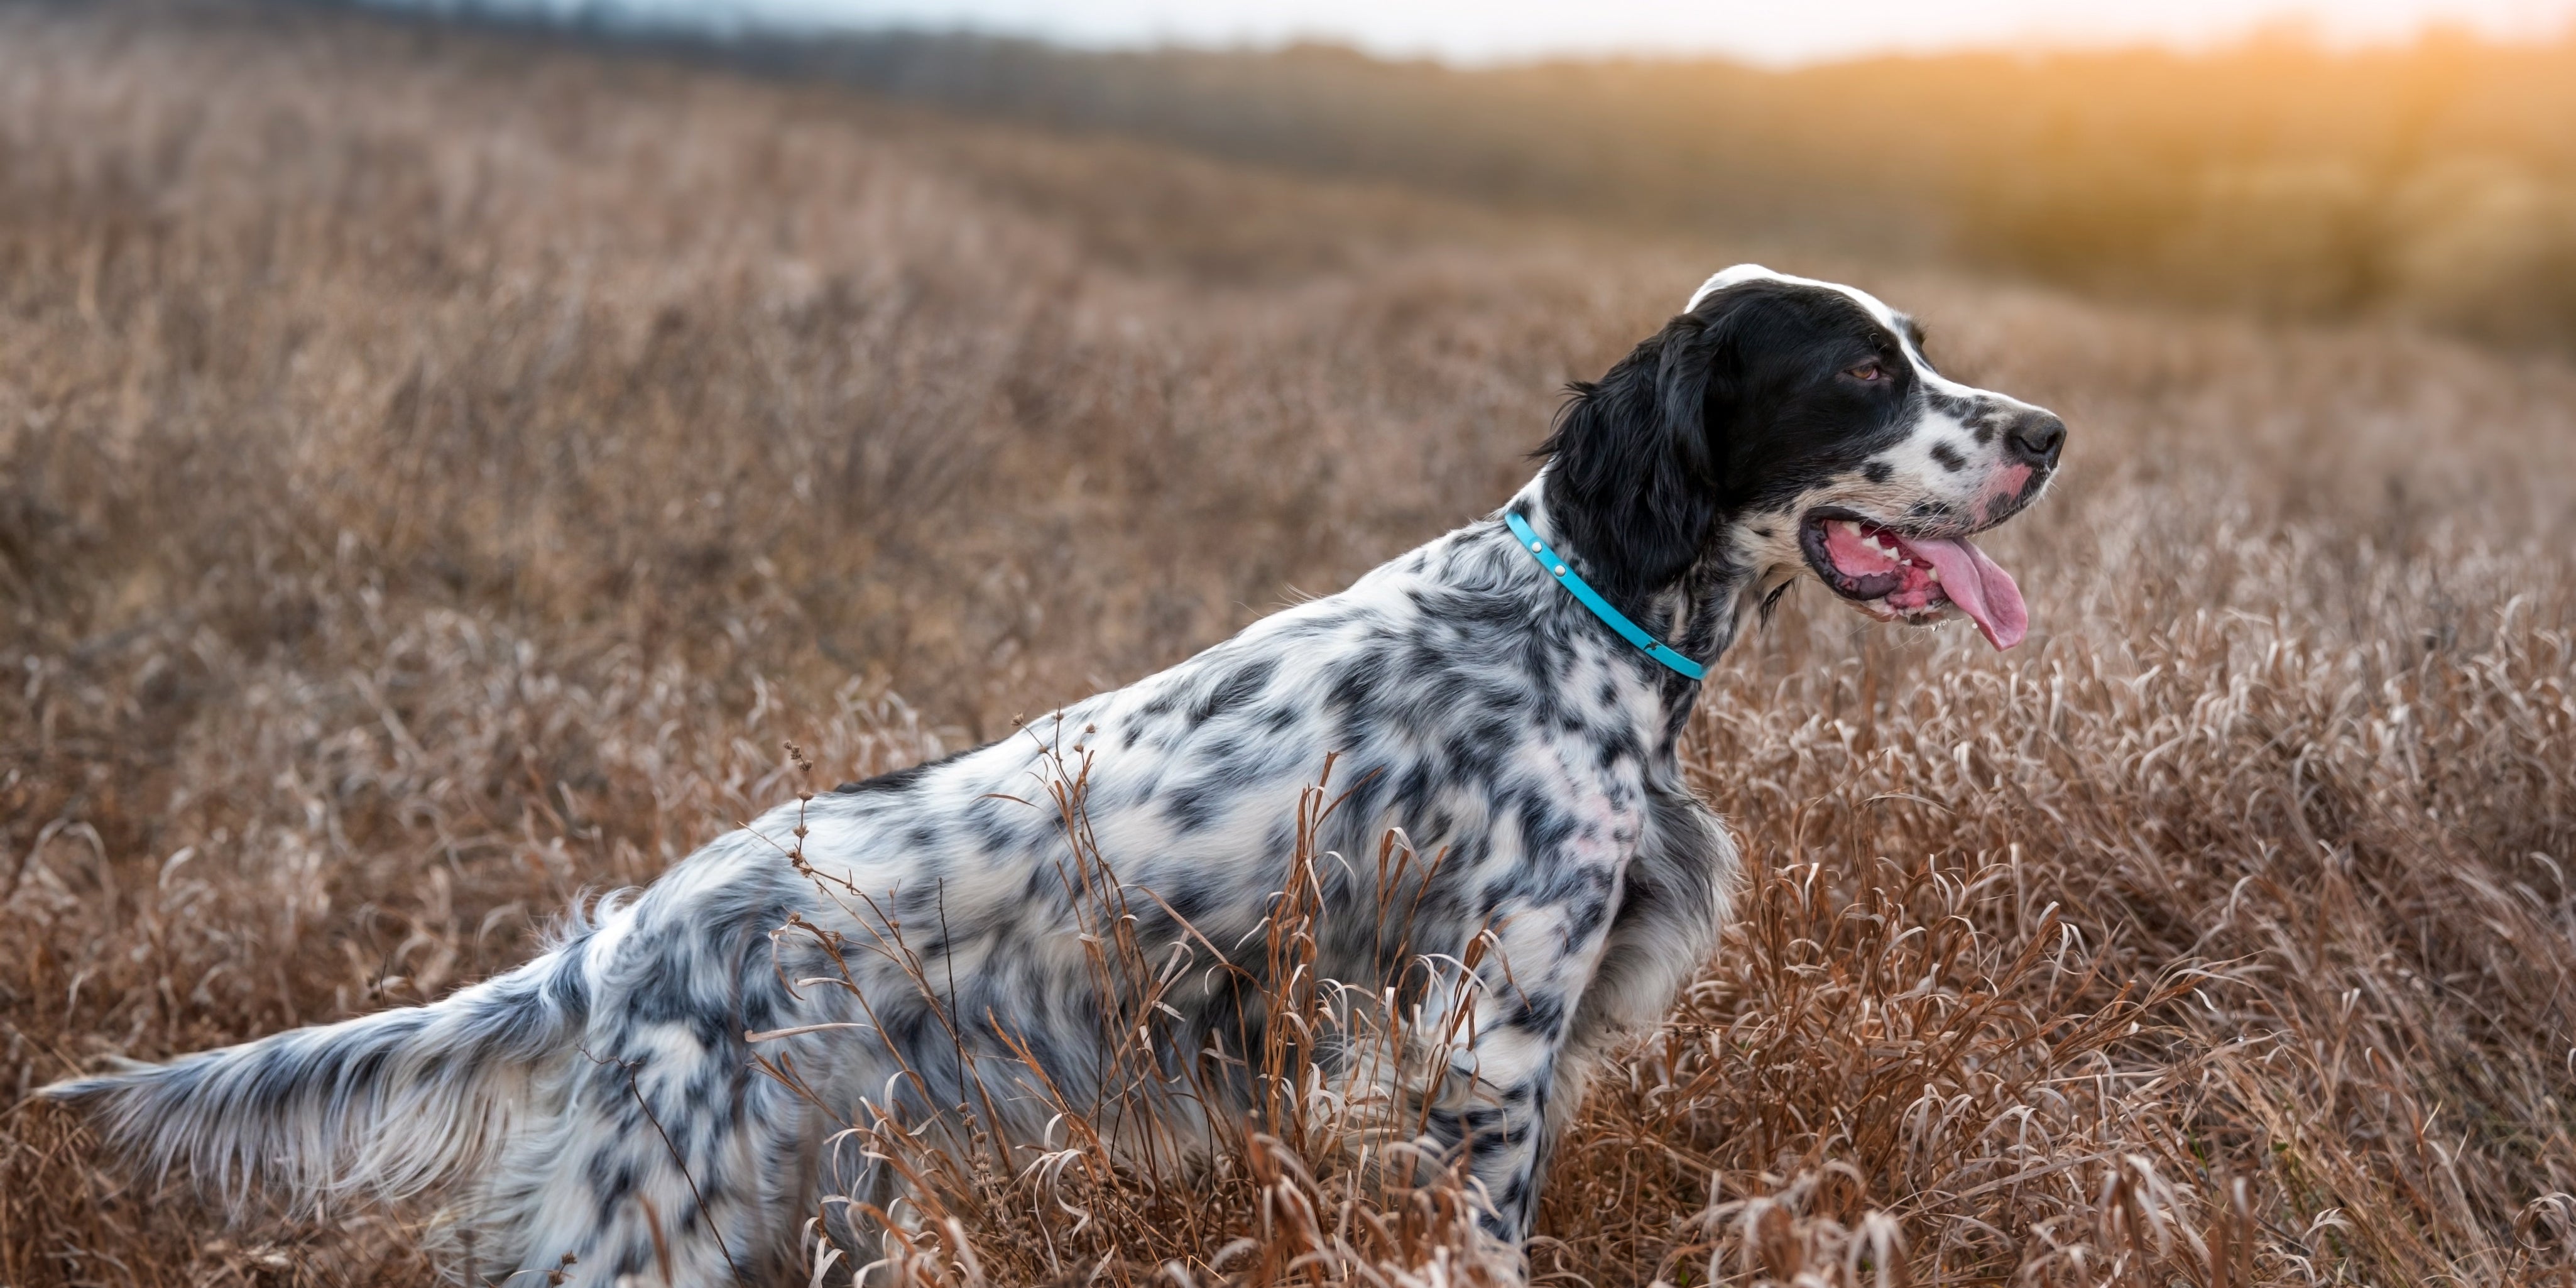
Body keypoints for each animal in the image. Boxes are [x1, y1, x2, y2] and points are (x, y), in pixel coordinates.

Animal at [45, 266, 2071, 1282]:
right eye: (1861, 376)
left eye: (1921, 354)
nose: (2047, 432)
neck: (1575, 611)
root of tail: (625, 939)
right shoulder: (1483, 1049)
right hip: (667, 1197)